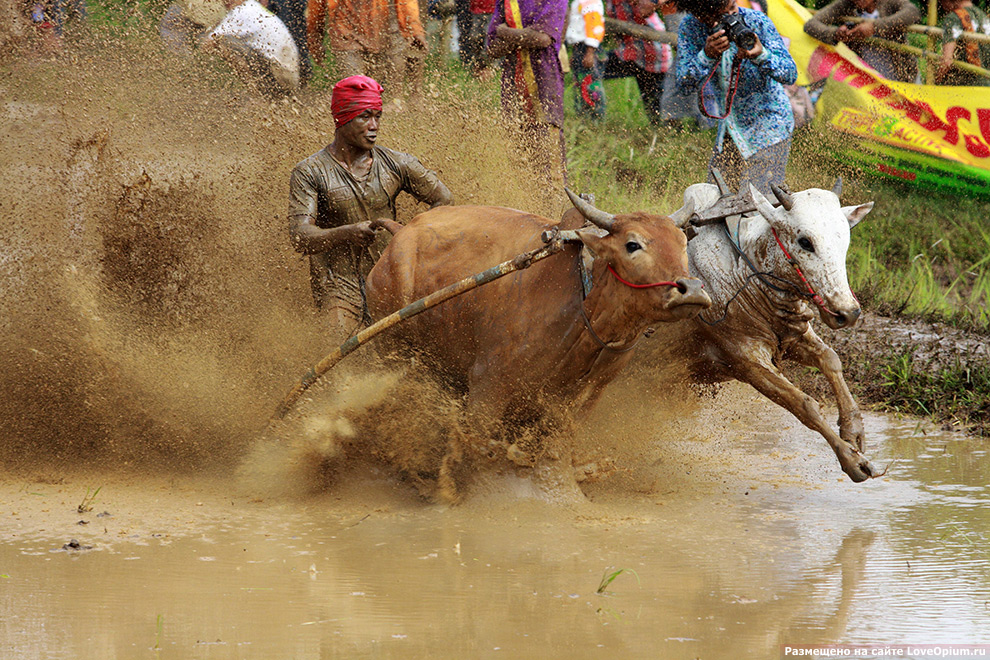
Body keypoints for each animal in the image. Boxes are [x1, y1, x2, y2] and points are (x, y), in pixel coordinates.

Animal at [366, 192, 712, 428]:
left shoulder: (585, 399)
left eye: (683, 244)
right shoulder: (487, 386)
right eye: (632, 245)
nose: (692, 289)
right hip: (387, 349)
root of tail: (400, 234)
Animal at [676, 180, 876, 480]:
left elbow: (830, 359)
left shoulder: (792, 337)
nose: (847, 312)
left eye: (844, 241)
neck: (744, 272)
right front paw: (852, 460)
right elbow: (804, 404)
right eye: (805, 242)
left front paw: (855, 432)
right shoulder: (746, 361)